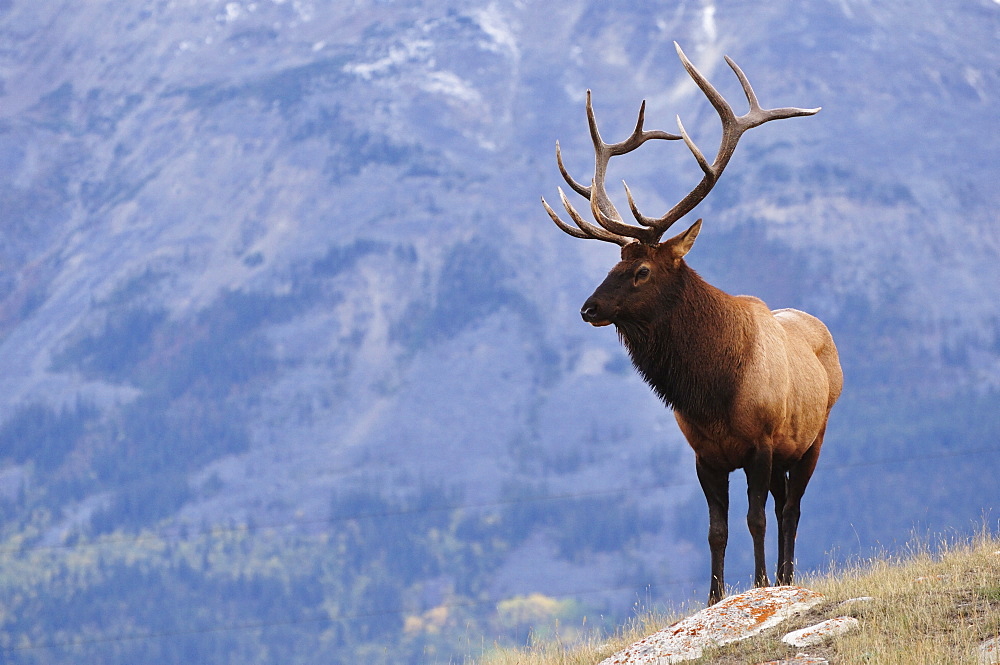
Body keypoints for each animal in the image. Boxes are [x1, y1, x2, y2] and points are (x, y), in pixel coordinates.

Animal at [544, 40, 840, 600]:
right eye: (612, 264)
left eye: (641, 270)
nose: (588, 309)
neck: (714, 391)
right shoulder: (704, 454)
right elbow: (715, 530)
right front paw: (714, 596)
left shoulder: (762, 443)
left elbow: (754, 519)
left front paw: (760, 585)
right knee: (783, 507)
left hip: (813, 439)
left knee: (790, 510)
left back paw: (786, 578)